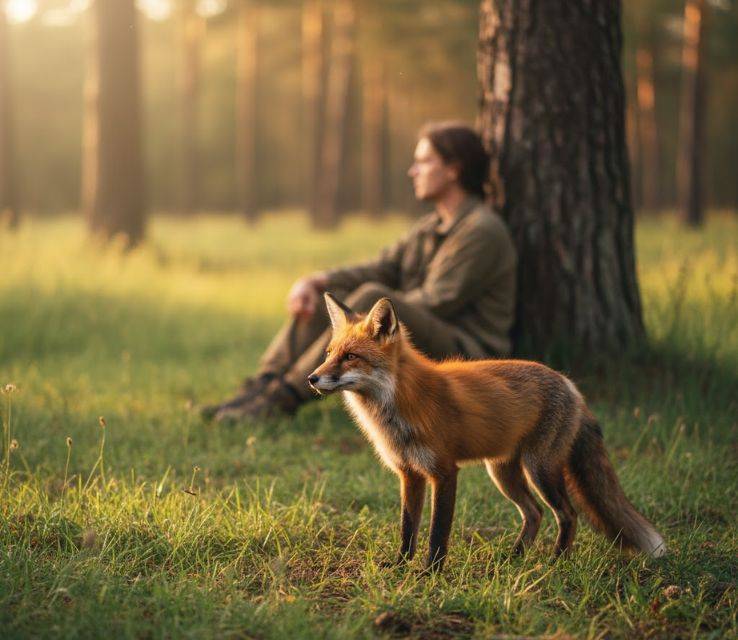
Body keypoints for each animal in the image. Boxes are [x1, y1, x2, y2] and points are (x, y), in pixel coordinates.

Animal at [307, 292, 667, 573]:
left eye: (351, 356)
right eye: (328, 354)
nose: (312, 378)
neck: (399, 403)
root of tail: (571, 385)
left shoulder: (444, 471)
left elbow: (438, 531)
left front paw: (430, 573)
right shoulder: (409, 473)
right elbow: (407, 527)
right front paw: (400, 566)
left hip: (539, 469)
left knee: (567, 514)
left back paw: (556, 562)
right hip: (503, 473)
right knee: (534, 513)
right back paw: (514, 558)